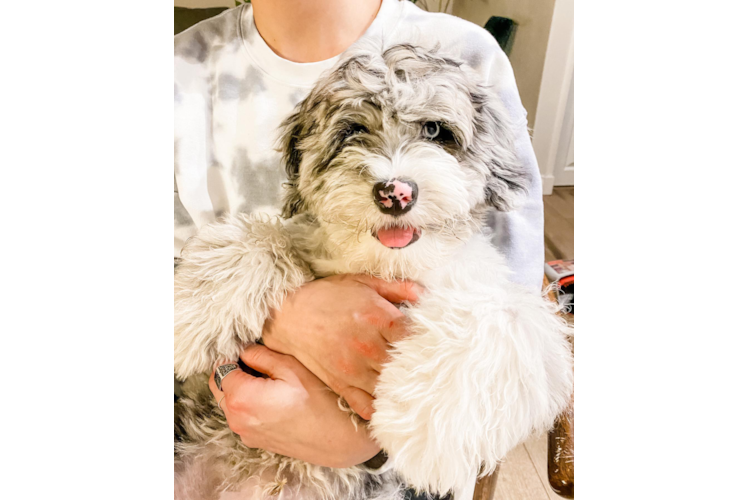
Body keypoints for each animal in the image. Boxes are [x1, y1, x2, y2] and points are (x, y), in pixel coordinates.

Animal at [174, 43, 572, 500]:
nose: (395, 193)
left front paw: (432, 436)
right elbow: (263, 235)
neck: (388, 266)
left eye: (435, 131)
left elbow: (502, 314)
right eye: (351, 132)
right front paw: (194, 314)